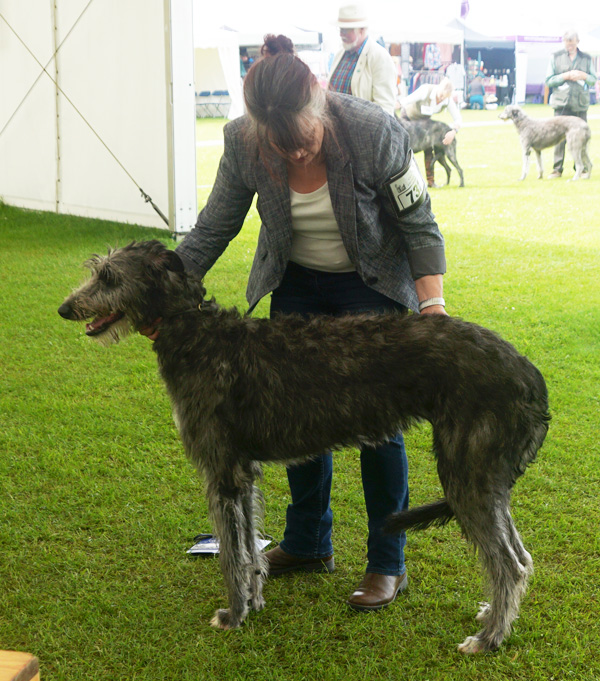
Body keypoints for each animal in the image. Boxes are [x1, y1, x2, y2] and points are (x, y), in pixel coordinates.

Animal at [58, 240, 552, 652]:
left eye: (108, 277)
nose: (65, 308)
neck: (194, 330)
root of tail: (528, 372)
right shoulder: (243, 472)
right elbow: (249, 548)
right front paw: (254, 601)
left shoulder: (221, 472)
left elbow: (231, 555)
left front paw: (233, 614)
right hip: (484, 478)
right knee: (521, 555)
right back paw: (494, 618)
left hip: (466, 470)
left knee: (508, 563)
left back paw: (489, 639)